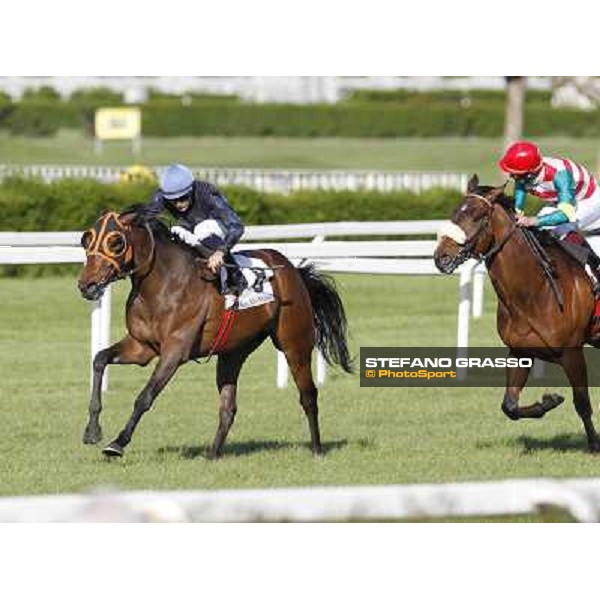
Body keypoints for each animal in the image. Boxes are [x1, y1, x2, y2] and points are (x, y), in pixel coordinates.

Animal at [77, 207, 354, 460]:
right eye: (86, 240)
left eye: (115, 241)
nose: (86, 285)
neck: (163, 283)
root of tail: (293, 270)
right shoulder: (141, 346)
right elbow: (99, 359)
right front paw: (92, 430)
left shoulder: (174, 351)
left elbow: (145, 396)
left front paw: (117, 443)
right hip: (233, 352)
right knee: (228, 407)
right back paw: (212, 454)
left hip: (293, 343)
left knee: (308, 395)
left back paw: (317, 449)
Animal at [434, 176, 600, 452]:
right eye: (455, 212)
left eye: (478, 216)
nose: (441, 257)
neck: (535, 291)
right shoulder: (520, 351)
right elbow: (509, 405)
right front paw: (549, 401)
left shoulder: (572, 353)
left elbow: (582, 403)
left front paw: (594, 444)